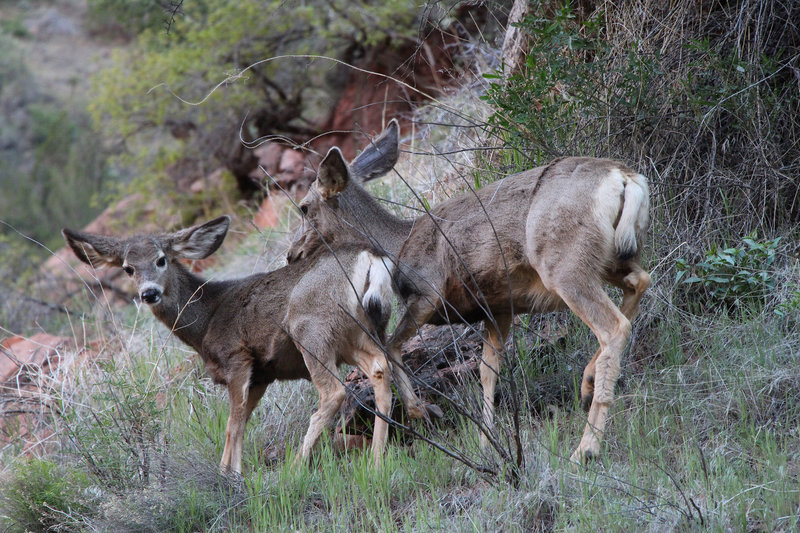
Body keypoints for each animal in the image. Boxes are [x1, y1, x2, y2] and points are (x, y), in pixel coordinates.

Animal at [63, 147, 438, 474]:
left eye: (161, 259)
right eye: (128, 268)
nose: (149, 293)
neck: (205, 321)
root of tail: (371, 258)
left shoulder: (238, 358)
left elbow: (232, 424)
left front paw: (230, 476)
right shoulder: (263, 374)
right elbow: (241, 423)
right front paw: (231, 472)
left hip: (310, 328)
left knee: (334, 391)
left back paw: (296, 467)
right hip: (359, 330)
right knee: (381, 366)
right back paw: (380, 456)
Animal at [286, 119, 648, 462]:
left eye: (304, 207)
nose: (291, 255)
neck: (398, 246)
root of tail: (626, 178)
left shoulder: (427, 293)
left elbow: (391, 347)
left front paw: (421, 410)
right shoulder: (499, 307)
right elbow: (488, 370)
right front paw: (487, 438)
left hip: (564, 264)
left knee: (614, 326)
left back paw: (585, 448)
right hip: (609, 258)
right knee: (640, 282)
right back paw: (587, 383)